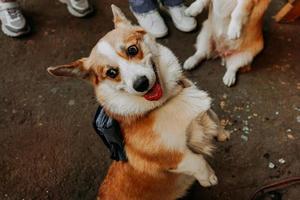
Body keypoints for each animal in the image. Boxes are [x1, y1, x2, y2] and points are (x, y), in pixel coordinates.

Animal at [47, 5, 230, 200]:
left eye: (132, 50)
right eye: (111, 72)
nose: (141, 84)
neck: (166, 101)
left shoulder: (205, 111)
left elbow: (215, 119)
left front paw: (222, 135)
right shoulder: (176, 156)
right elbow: (197, 161)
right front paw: (209, 178)